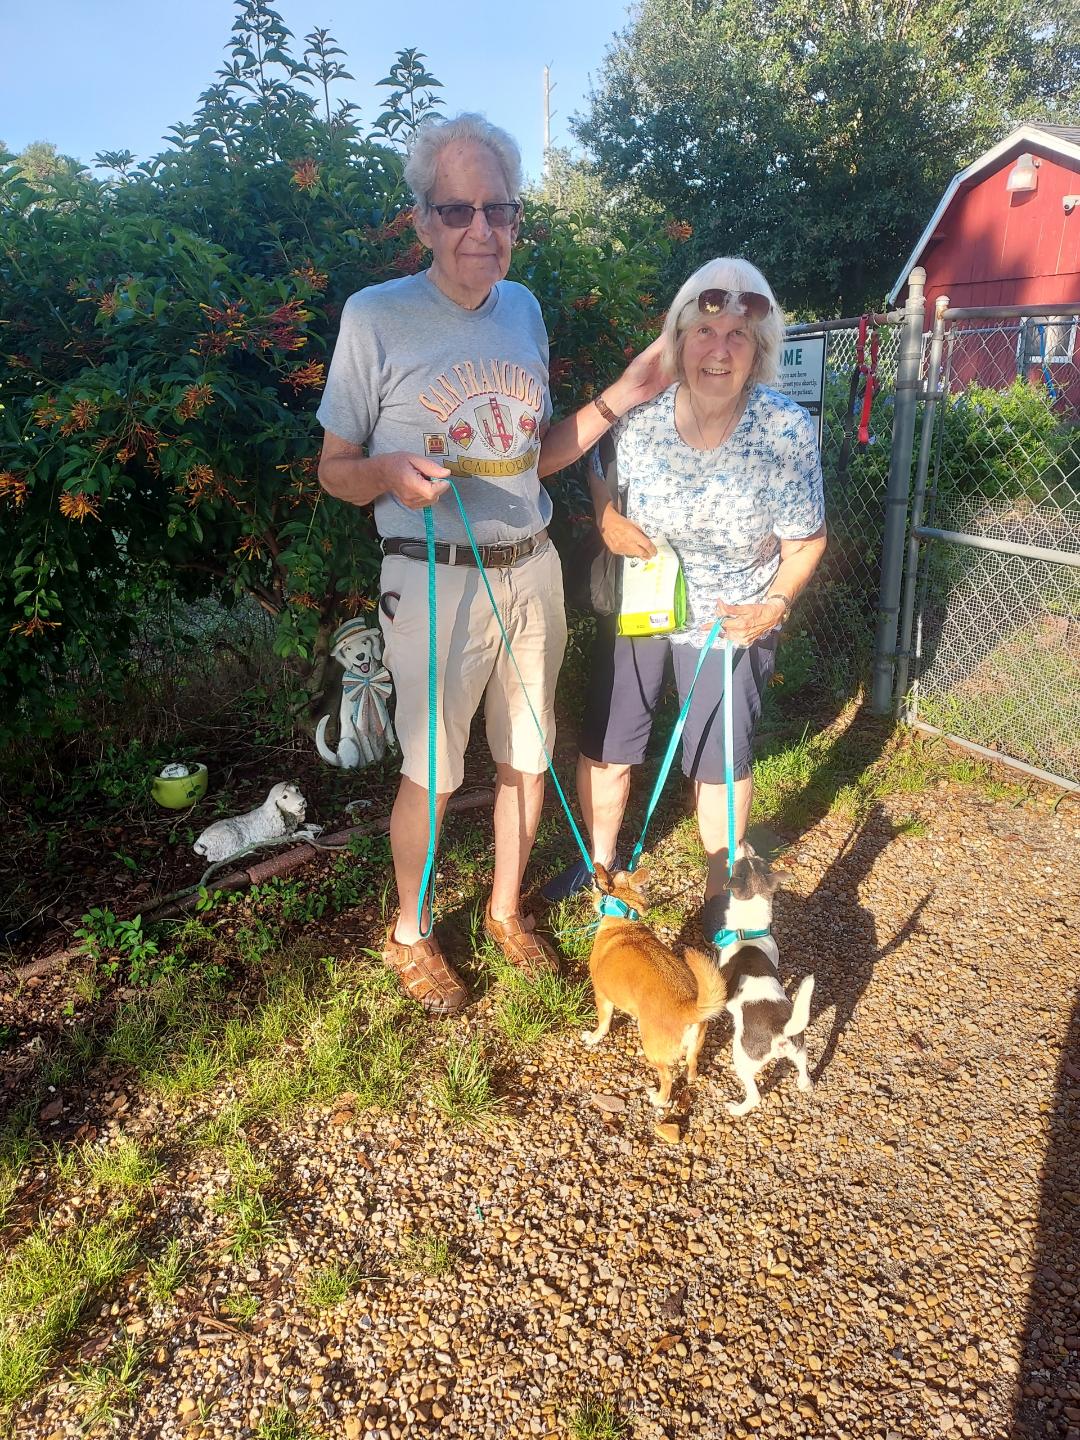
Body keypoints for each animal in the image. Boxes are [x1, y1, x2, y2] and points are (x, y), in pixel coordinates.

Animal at [705, 846, 817, 1117]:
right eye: (757, 861)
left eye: (739, 863)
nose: (744, 844)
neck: (749, 931)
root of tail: (781, 1031)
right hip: (800, 1048)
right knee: (804, 1071)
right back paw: (805, 1084)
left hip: (743, 1058)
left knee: (754, 1095)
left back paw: (736, 1108)